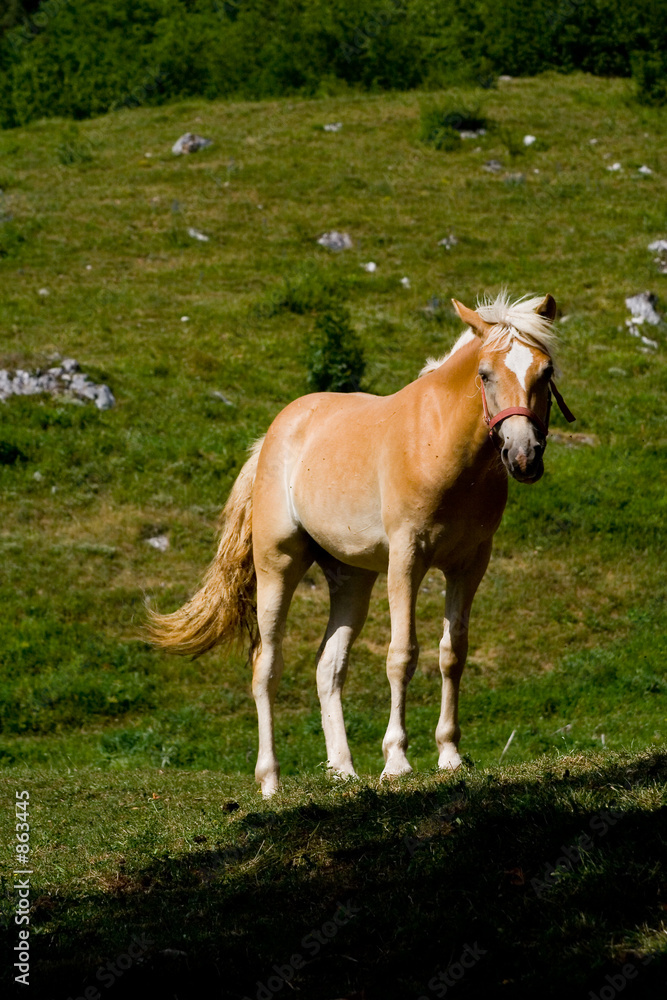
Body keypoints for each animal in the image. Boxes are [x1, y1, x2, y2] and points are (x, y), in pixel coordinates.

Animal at [147, 292, 575, 796]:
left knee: (328, 666)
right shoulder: (407, 558)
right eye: (486, 373)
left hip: (351, 578)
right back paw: (270, 779)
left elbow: (452, 653)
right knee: (265, 665)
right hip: (278, 565)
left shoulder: (469, 564)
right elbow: (402, 654)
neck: (441, 445)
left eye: (545, 372)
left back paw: (343, 769)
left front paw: (449, 754)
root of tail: (273, 435)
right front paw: (397, 759)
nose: (523, 455)